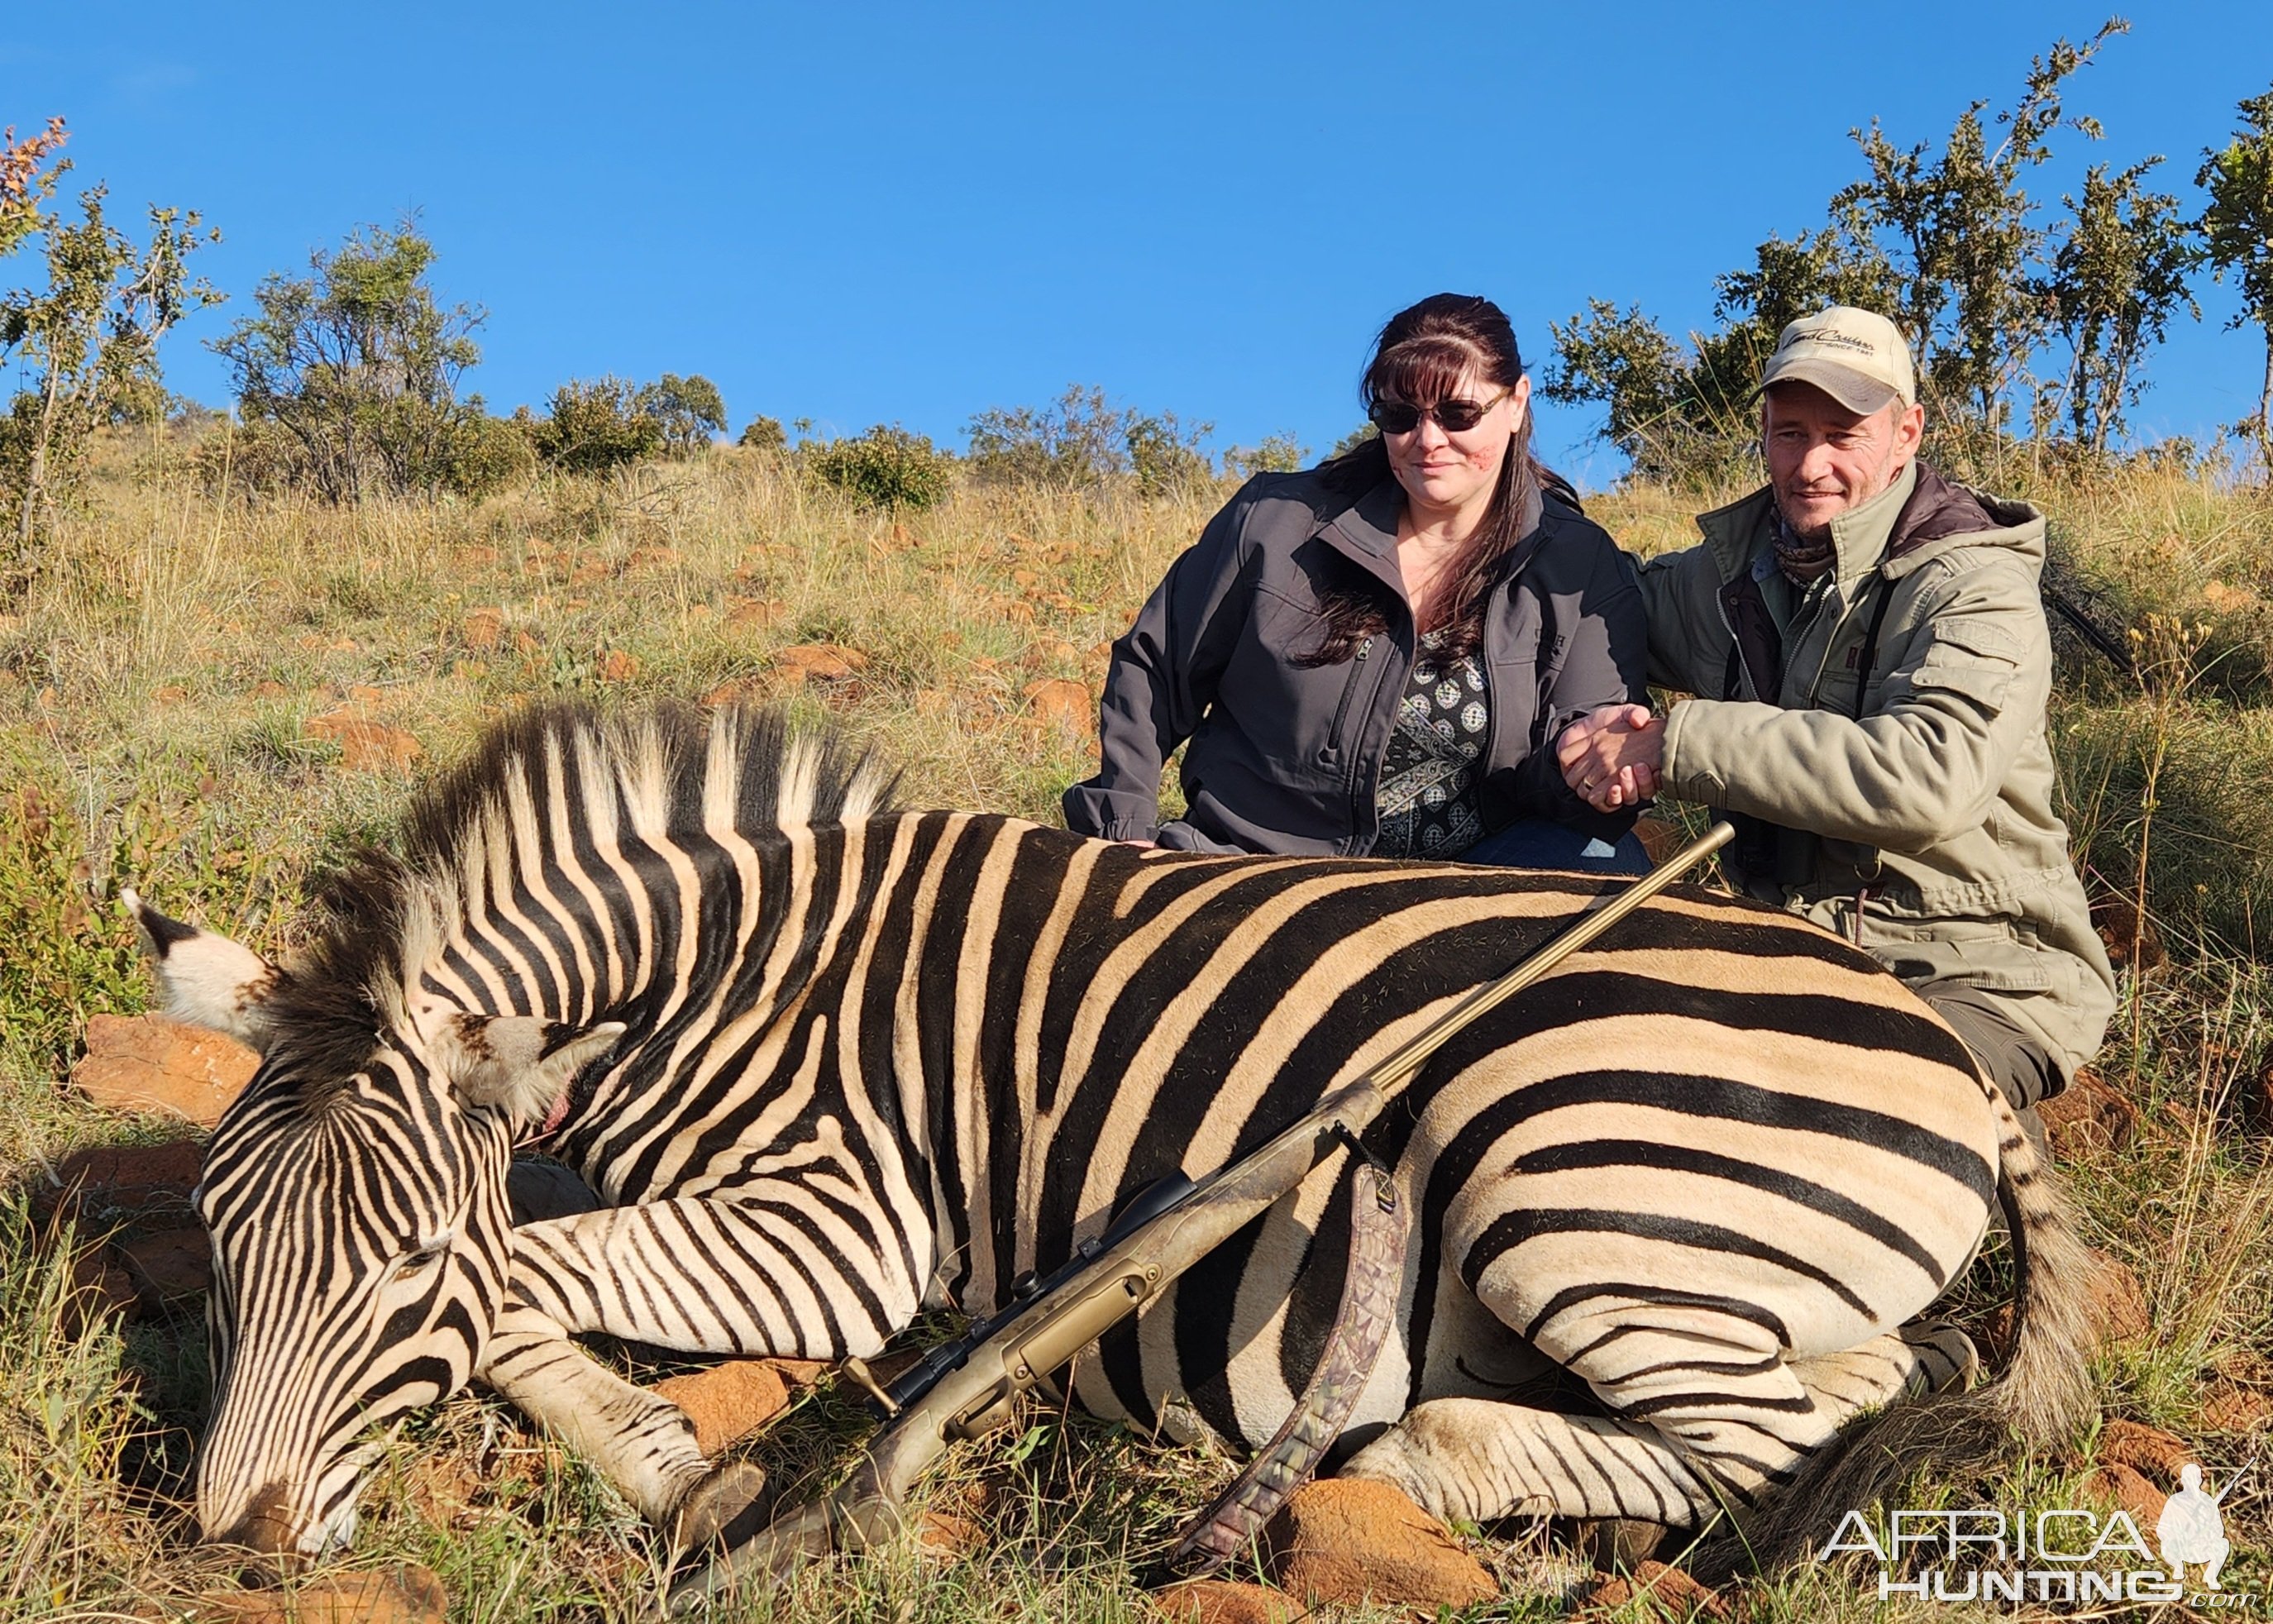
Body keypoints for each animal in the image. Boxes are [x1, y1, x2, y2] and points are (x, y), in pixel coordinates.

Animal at [132, 695, 2091, 1564]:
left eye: (398, 1269)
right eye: (222, 1255)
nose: (229, 1544)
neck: (725, 973)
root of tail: (1953, 1055)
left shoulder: (849, 1230)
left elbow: (534, 1275)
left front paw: (682, 1466)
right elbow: (543, 1238)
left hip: (1566, 1173)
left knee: (1765, 1436)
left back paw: (1414, 1455)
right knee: (1868, 1381)